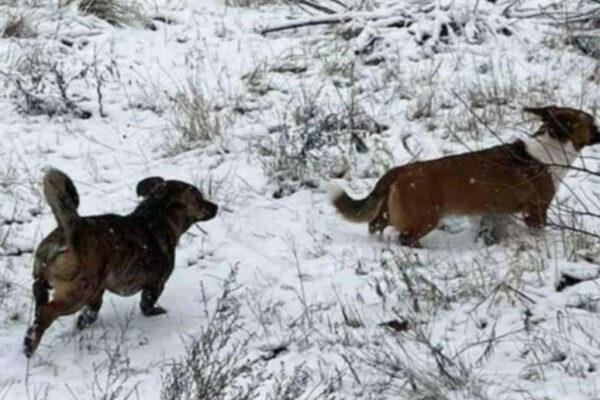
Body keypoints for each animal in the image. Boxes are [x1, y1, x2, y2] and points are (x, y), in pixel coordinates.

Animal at [25, 169, 220, 356]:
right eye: (198, 197)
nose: (216, 206)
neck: (156, 218)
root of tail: (68, 234)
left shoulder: (98, 290)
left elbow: (92, 312)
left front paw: (83, 323)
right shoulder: (156, 283)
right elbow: (146, 305)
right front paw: (156, 312)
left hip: (48, 279)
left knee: (39, 297)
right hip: (77, 293)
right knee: (46, 312)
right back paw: (30, 344)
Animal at [330, 106, 600, 247]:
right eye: (592, 123)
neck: (548, 150)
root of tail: (400, 170)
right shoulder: (535, 211)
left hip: (389, 213)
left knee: (374, 225)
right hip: (424, 218)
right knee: (405, 237)